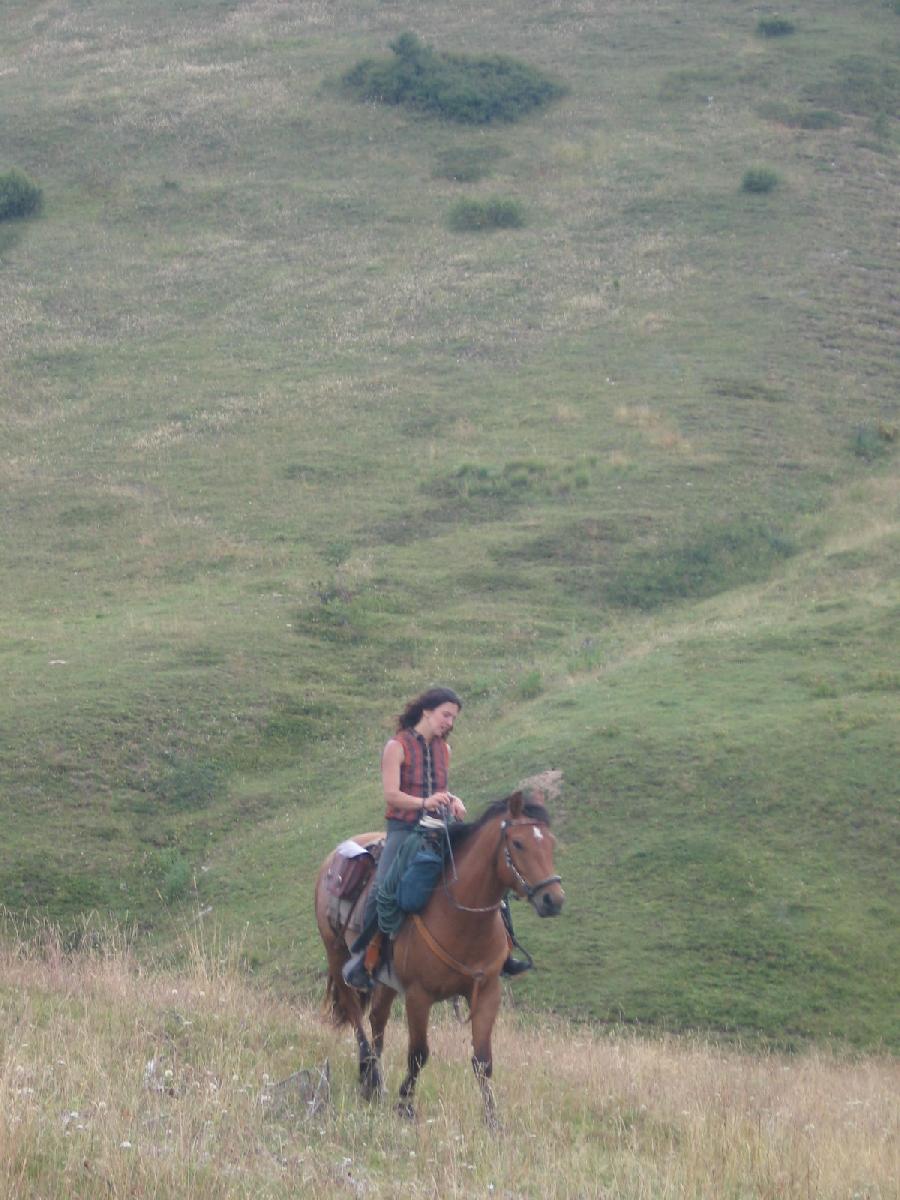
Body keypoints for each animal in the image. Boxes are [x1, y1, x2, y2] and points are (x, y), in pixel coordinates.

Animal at [309, 796, 564, 1123]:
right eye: (518, 843)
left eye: (550, 842)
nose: (553, 899)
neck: (462, 918)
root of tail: (334, 857)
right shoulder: (419, 995)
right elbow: (418, 1054)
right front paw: (405, 1105)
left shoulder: (488, 992)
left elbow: (483, 1060)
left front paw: (492, 1120)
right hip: (336, 953)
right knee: (356, 1016)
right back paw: (370, 1075)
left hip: (385, 978)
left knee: (377, 1020)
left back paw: (374, 1081)